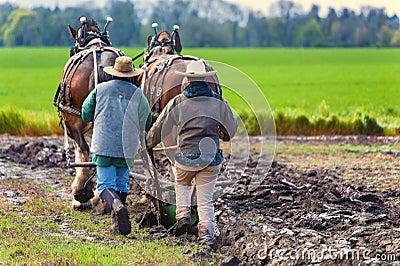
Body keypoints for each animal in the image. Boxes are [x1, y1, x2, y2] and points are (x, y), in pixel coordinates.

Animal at [53, 17, 125, 211]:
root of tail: (102, 65)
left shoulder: (73, 125)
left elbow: (82, 153)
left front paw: (80, 196)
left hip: (74, 120)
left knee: (86, 150)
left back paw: (84, 194)